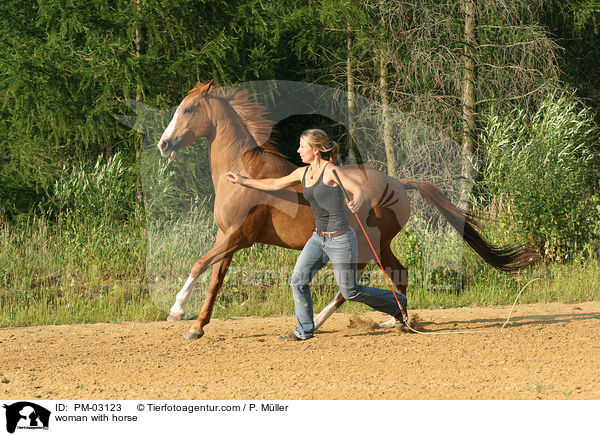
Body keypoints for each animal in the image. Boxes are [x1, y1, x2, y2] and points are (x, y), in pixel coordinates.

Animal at [156, 82, 540, 340]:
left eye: (188, 110)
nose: (163, 144)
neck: (243, 172)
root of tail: (399, 183)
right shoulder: (229, 238)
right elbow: (215, 280)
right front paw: (197, 327)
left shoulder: (238, 236)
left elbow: (199, 264)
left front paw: (177, 311)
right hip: (381, 245)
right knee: (396, 273)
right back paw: (395, 320)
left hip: (365, 245)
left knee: (351, 288)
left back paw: (332, 322)